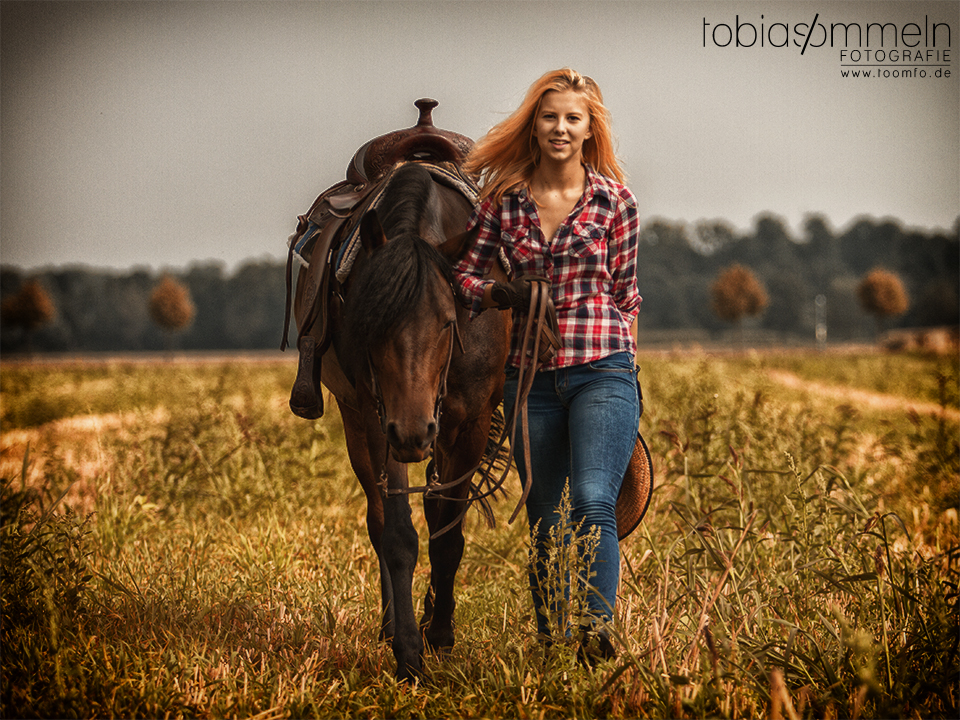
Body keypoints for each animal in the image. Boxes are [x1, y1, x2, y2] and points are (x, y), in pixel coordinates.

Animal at [294, 162, 510, 680]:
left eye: (449, 321)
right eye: (370, 322)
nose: (414, 433)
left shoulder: (470, 425)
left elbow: (448, 533)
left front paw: (441, 633)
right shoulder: (378, 422)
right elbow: (397, 535)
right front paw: (410, 651)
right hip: (358, 421)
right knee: (378, 519)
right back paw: (393, 625)